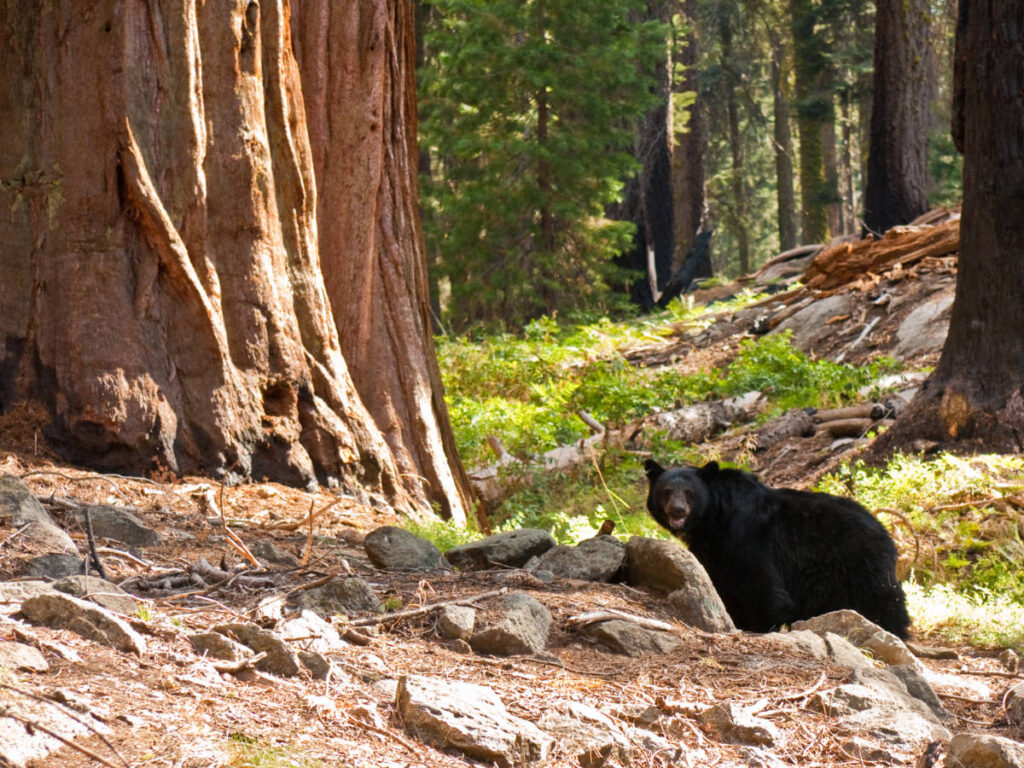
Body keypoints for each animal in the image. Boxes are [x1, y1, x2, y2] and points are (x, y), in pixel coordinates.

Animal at [644, 459, 910, 638]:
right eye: (666, 491)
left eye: (690, 493)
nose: (677, 510)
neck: (713, 521)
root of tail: (885, 532)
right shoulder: (715, 555)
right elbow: (724, 588)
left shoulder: (747, 537)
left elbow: (764, 587)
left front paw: (760, 627)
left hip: (860, 566)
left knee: (884, 603)